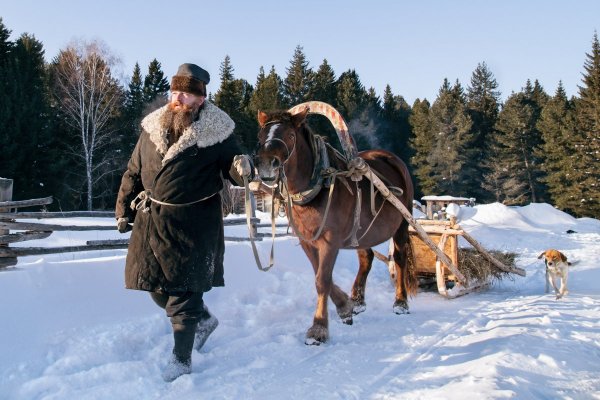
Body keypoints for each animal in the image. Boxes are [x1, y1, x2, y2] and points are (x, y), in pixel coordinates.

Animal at [254, 108, 418, 346]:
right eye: (260, 136)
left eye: (290, 136)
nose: (267, 164)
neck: (316, 188)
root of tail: (391, 158)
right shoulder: (308, 241)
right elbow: (321, 275)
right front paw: (345, 307)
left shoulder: (330, 241)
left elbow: (322, 280)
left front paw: (319, 328)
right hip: (362, 232)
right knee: (366, 258)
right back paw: (358, 300)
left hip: (403, 223)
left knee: (399, 258)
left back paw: (400, 303)